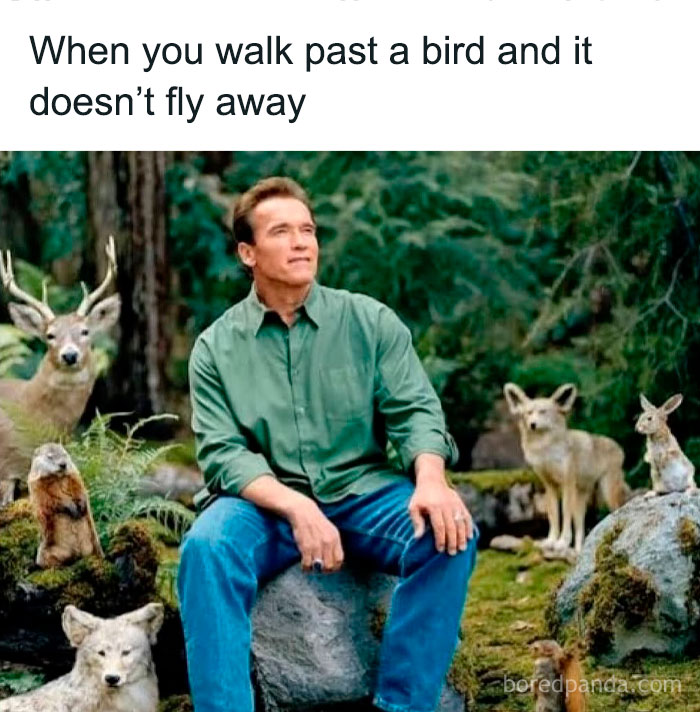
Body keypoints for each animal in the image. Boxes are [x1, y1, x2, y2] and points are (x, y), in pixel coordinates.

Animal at [504, 383, 628, 553]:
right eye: (528, 413)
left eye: (543, 412)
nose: (532, 424)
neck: (545, 451)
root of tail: (619, 447)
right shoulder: (550, 486)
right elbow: (554, 516)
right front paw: (550, 541)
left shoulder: (566, 484)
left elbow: (564, 514)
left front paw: (562, 542)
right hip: (581, 499)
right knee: (581, 528)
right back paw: (578, 551)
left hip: (606, 493)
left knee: (616, 510)